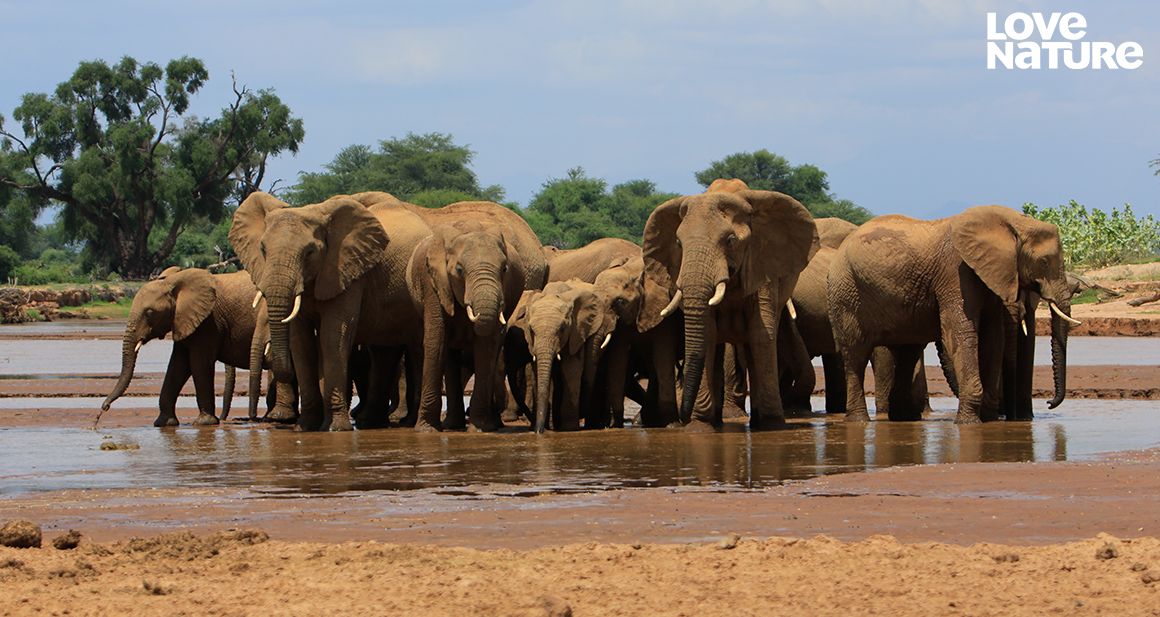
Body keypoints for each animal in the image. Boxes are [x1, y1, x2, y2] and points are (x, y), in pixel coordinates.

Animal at [102, 267, 258, 426]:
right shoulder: (183, 320)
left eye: (149, 313)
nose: (104, 407)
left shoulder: (208, 321)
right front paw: (164, 423)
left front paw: (204, 422)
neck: (172, 282)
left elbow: (198, 363)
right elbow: (177, 365)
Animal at [228, 191, 433, 429]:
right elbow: (301, 341)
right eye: (263, 250)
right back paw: (369, 422)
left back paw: (404, 422)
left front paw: (336, 428)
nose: (252, 418)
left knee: (415, 348)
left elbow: (332, 336)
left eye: (309, 252)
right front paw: (306, 426)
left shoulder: (347, 272)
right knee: (383, 352)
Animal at [408, 201, 547, 429]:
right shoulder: (433, 284)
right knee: (449, 354)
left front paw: (480, 427)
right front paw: (426, 429)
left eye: (505, 269)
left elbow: (486, 344)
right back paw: (452, 425)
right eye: (459, 269)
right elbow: (437, 339)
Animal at [640, 179, 821, 429]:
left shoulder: (761, 263)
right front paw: (700, 427)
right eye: (678, 243)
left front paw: (772, 426)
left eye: (730, 241)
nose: (682, 419)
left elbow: (760, 334)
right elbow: (707, 335)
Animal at [830, 206, 1071, 424]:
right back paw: (859, 421)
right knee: (856, 355)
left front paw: (988, 420)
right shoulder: (955, 271)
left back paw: (902, 420)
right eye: (1043, 262)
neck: (1012, 221)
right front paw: (968, 423)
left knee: (908, 352)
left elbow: (993, 337)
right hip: (846, 295)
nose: (1049, 403)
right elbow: (960, 332)